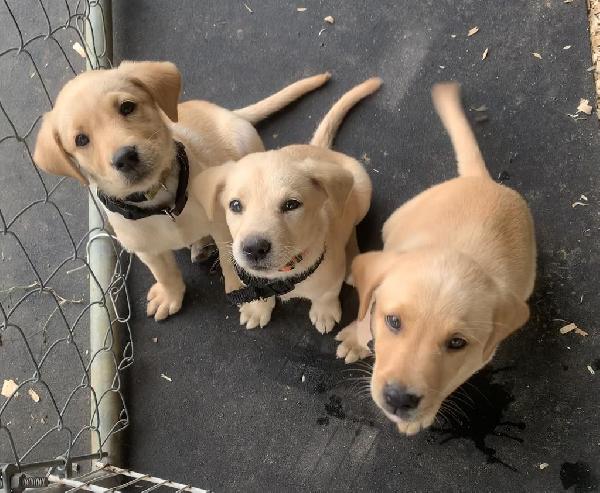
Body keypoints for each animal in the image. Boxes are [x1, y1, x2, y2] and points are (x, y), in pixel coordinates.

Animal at [32, 60, 330, 322]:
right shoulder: (144, 248)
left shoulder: (223, 226)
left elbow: (229, 261)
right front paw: (170, 295)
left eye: (127, 107)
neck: (161, 200)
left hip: (244, 143)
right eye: (81, 140)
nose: (125, 157)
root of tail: (231, 113)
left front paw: (239, 290)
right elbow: (164, 272)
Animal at [199, 77, 382, 330]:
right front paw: (258, 308)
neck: (282, 273)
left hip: (362, 188)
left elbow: (327, 293)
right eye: (235, 205)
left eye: (291, 205)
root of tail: (320, 151)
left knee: (351, 222)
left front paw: (324, 311)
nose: (254, 248)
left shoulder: (330, 276)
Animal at [336, 82, 536, 436]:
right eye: (393, 321)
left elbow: (451, 380)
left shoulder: (478, 356)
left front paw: (420, 417)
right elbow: (366, 313)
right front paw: (355, 339)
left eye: (457, 343)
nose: (399, 399)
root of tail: (482, 180)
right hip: (395, 221)